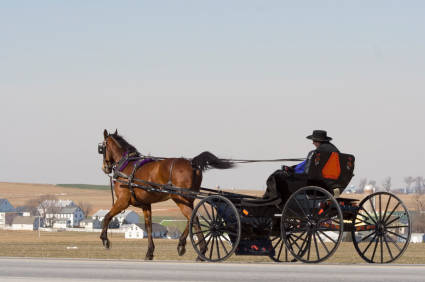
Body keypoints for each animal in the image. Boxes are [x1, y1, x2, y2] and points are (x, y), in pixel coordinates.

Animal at [98, 129, 234, 260]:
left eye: (101, 148)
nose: (105, 168)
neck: (126, 165)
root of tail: (192, 163)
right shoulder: (146, 204)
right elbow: (149, 226)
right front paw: (150, 252)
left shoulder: (123, 201)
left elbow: (107, 216)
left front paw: (105, 240)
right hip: (187, 199)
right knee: (191, 218)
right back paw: (183, 245)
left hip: (179, 198)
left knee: (193, 218)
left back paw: (201, 250)